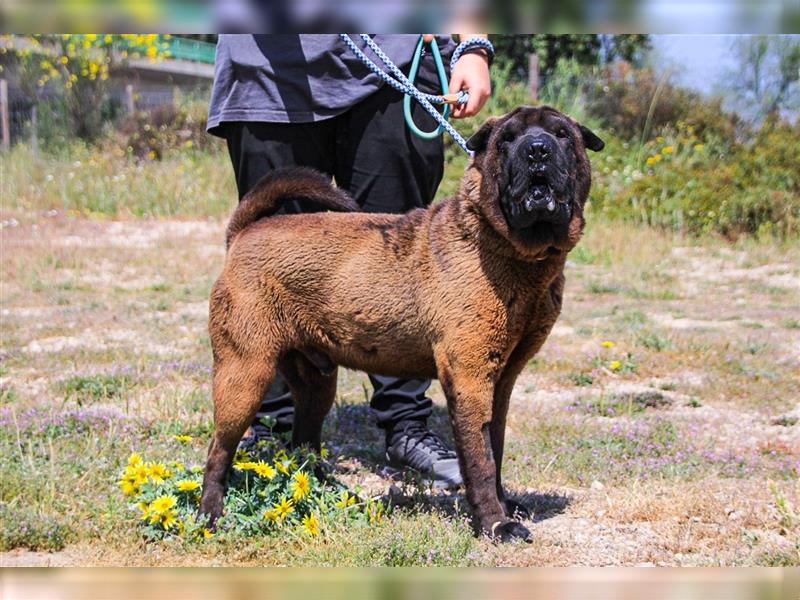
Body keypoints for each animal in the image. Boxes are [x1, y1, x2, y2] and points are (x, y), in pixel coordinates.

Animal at [200, 105, 600, 540]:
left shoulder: (501, 382)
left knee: (304, 442)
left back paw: (328, 494)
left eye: (562, 135)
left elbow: (495, 448)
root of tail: (243, 233)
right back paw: (210, 515)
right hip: (245, 375)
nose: (537, 150)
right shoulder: (470, 378)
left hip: (315, 381)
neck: (508, 249)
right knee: (219, 451)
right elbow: (480, 461)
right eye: (507, 139)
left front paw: (505, 505)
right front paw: (495, 523)